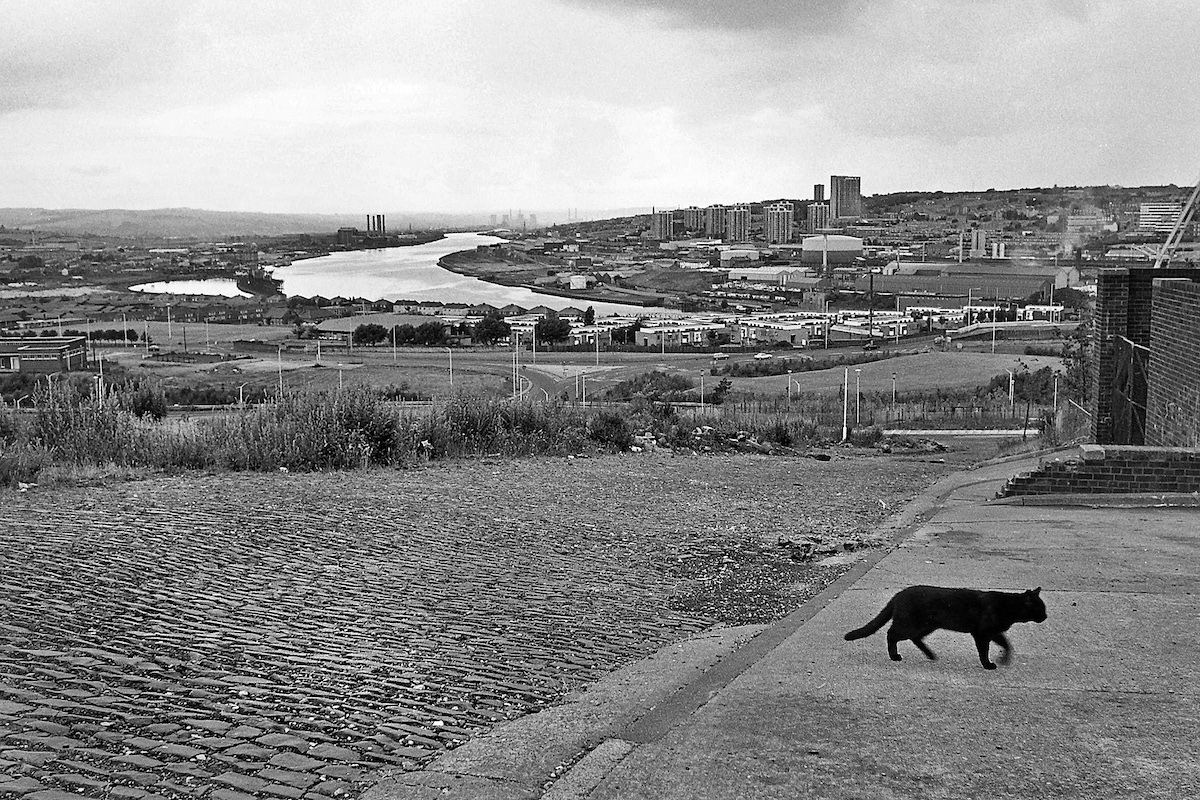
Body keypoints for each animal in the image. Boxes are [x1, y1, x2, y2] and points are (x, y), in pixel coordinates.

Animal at [844, 587, 1041, 671]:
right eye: (1041, 608)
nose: (1045, 616)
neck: (1008, 606)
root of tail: (898, 594)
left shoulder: (993, 632)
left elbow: (1006, 644)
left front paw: (1004, 659)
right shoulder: (982, 633)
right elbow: (984, 651)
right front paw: (988, 664)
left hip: (927, 625)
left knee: (915, 638)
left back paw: (930, 655)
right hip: (910, 624)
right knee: (891, 633)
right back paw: (894, 656)